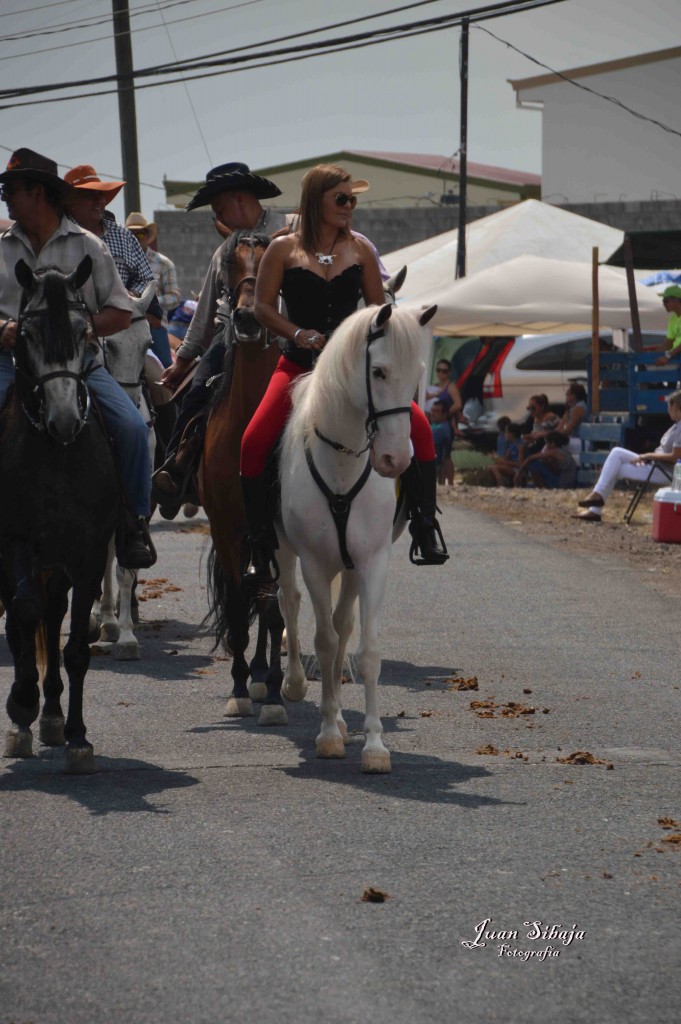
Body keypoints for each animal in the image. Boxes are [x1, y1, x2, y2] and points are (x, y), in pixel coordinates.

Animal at [272, 299, 436, 770]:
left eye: (418, 373)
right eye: (378, 372)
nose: (394, 459)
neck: (343, 460)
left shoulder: (372, 561)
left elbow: (365, 650)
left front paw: (374, 745)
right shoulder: (313, 561)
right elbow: (324, 641)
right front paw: (328, 734)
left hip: (349, 565)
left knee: (343, 624)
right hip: (285, 549)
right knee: (289, 601)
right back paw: (293, 684)